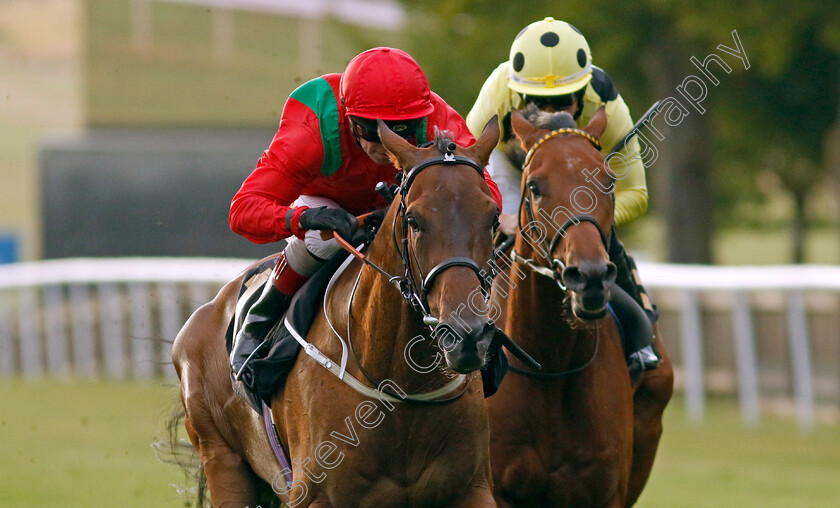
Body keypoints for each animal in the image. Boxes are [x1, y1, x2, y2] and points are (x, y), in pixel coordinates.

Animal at [169, 118, 506, 508]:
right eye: (413, 220)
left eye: (493, 218)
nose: (467, 336)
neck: (401, 385)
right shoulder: (314, 495)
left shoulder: (472, 489)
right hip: (222, 460)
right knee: (315, 238)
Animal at [486, 108, 676, 508]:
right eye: (534, 187)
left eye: (608, 182)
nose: (589, 277)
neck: (550, 366)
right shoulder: (497, 490)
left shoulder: (604, 492)